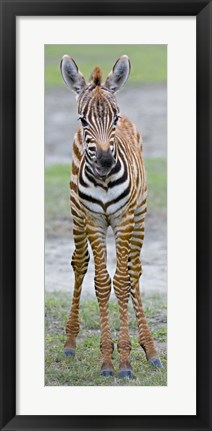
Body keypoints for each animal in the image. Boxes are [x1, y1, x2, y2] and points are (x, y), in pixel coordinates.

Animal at [59, 54, 162, 378]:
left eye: (113, 119)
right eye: (83, 120)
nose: (104, 161)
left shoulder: (124, 220)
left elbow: (123, 280)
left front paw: (126, 360)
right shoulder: (93, 220)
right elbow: (103, 283)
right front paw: (108, 359)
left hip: (139, 215)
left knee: (134, 271)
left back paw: (151, 350)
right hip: (76, 215)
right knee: (80, 263)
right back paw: (70, 342)